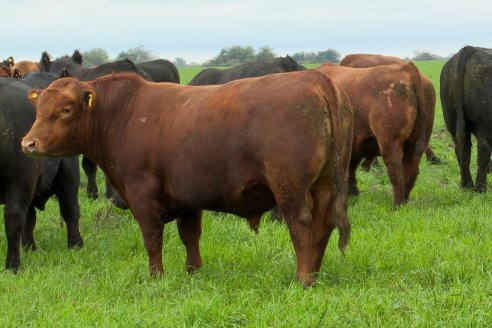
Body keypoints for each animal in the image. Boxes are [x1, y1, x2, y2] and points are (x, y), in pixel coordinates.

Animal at [23, 70, 352, 286]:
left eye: (66, 109)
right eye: (39, 108)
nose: (28, 143)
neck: (124, 114)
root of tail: (313, 77)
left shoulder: (142, 196)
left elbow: (152, 239)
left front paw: (156, 278)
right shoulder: (188, 198)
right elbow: (190, 236)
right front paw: (193, 272)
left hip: (289, 187)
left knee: (301, 223)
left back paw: (302, 278)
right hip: (323, 186)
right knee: (323, 224)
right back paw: (315, 273)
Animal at [316, 61, 434, 208]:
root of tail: (406, 68)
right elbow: (350, 170)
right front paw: (353, 194)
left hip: (390, 142)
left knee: (396, 171)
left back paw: (397, 206)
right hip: (415, 145)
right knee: (410, 170)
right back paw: (404, 202)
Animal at [440, 44, 492, 191]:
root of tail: (470, 48)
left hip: (452, 121)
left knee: (462, 148)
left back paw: (466, 185)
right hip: (485, 122)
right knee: (483, 146)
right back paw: (480, 188)